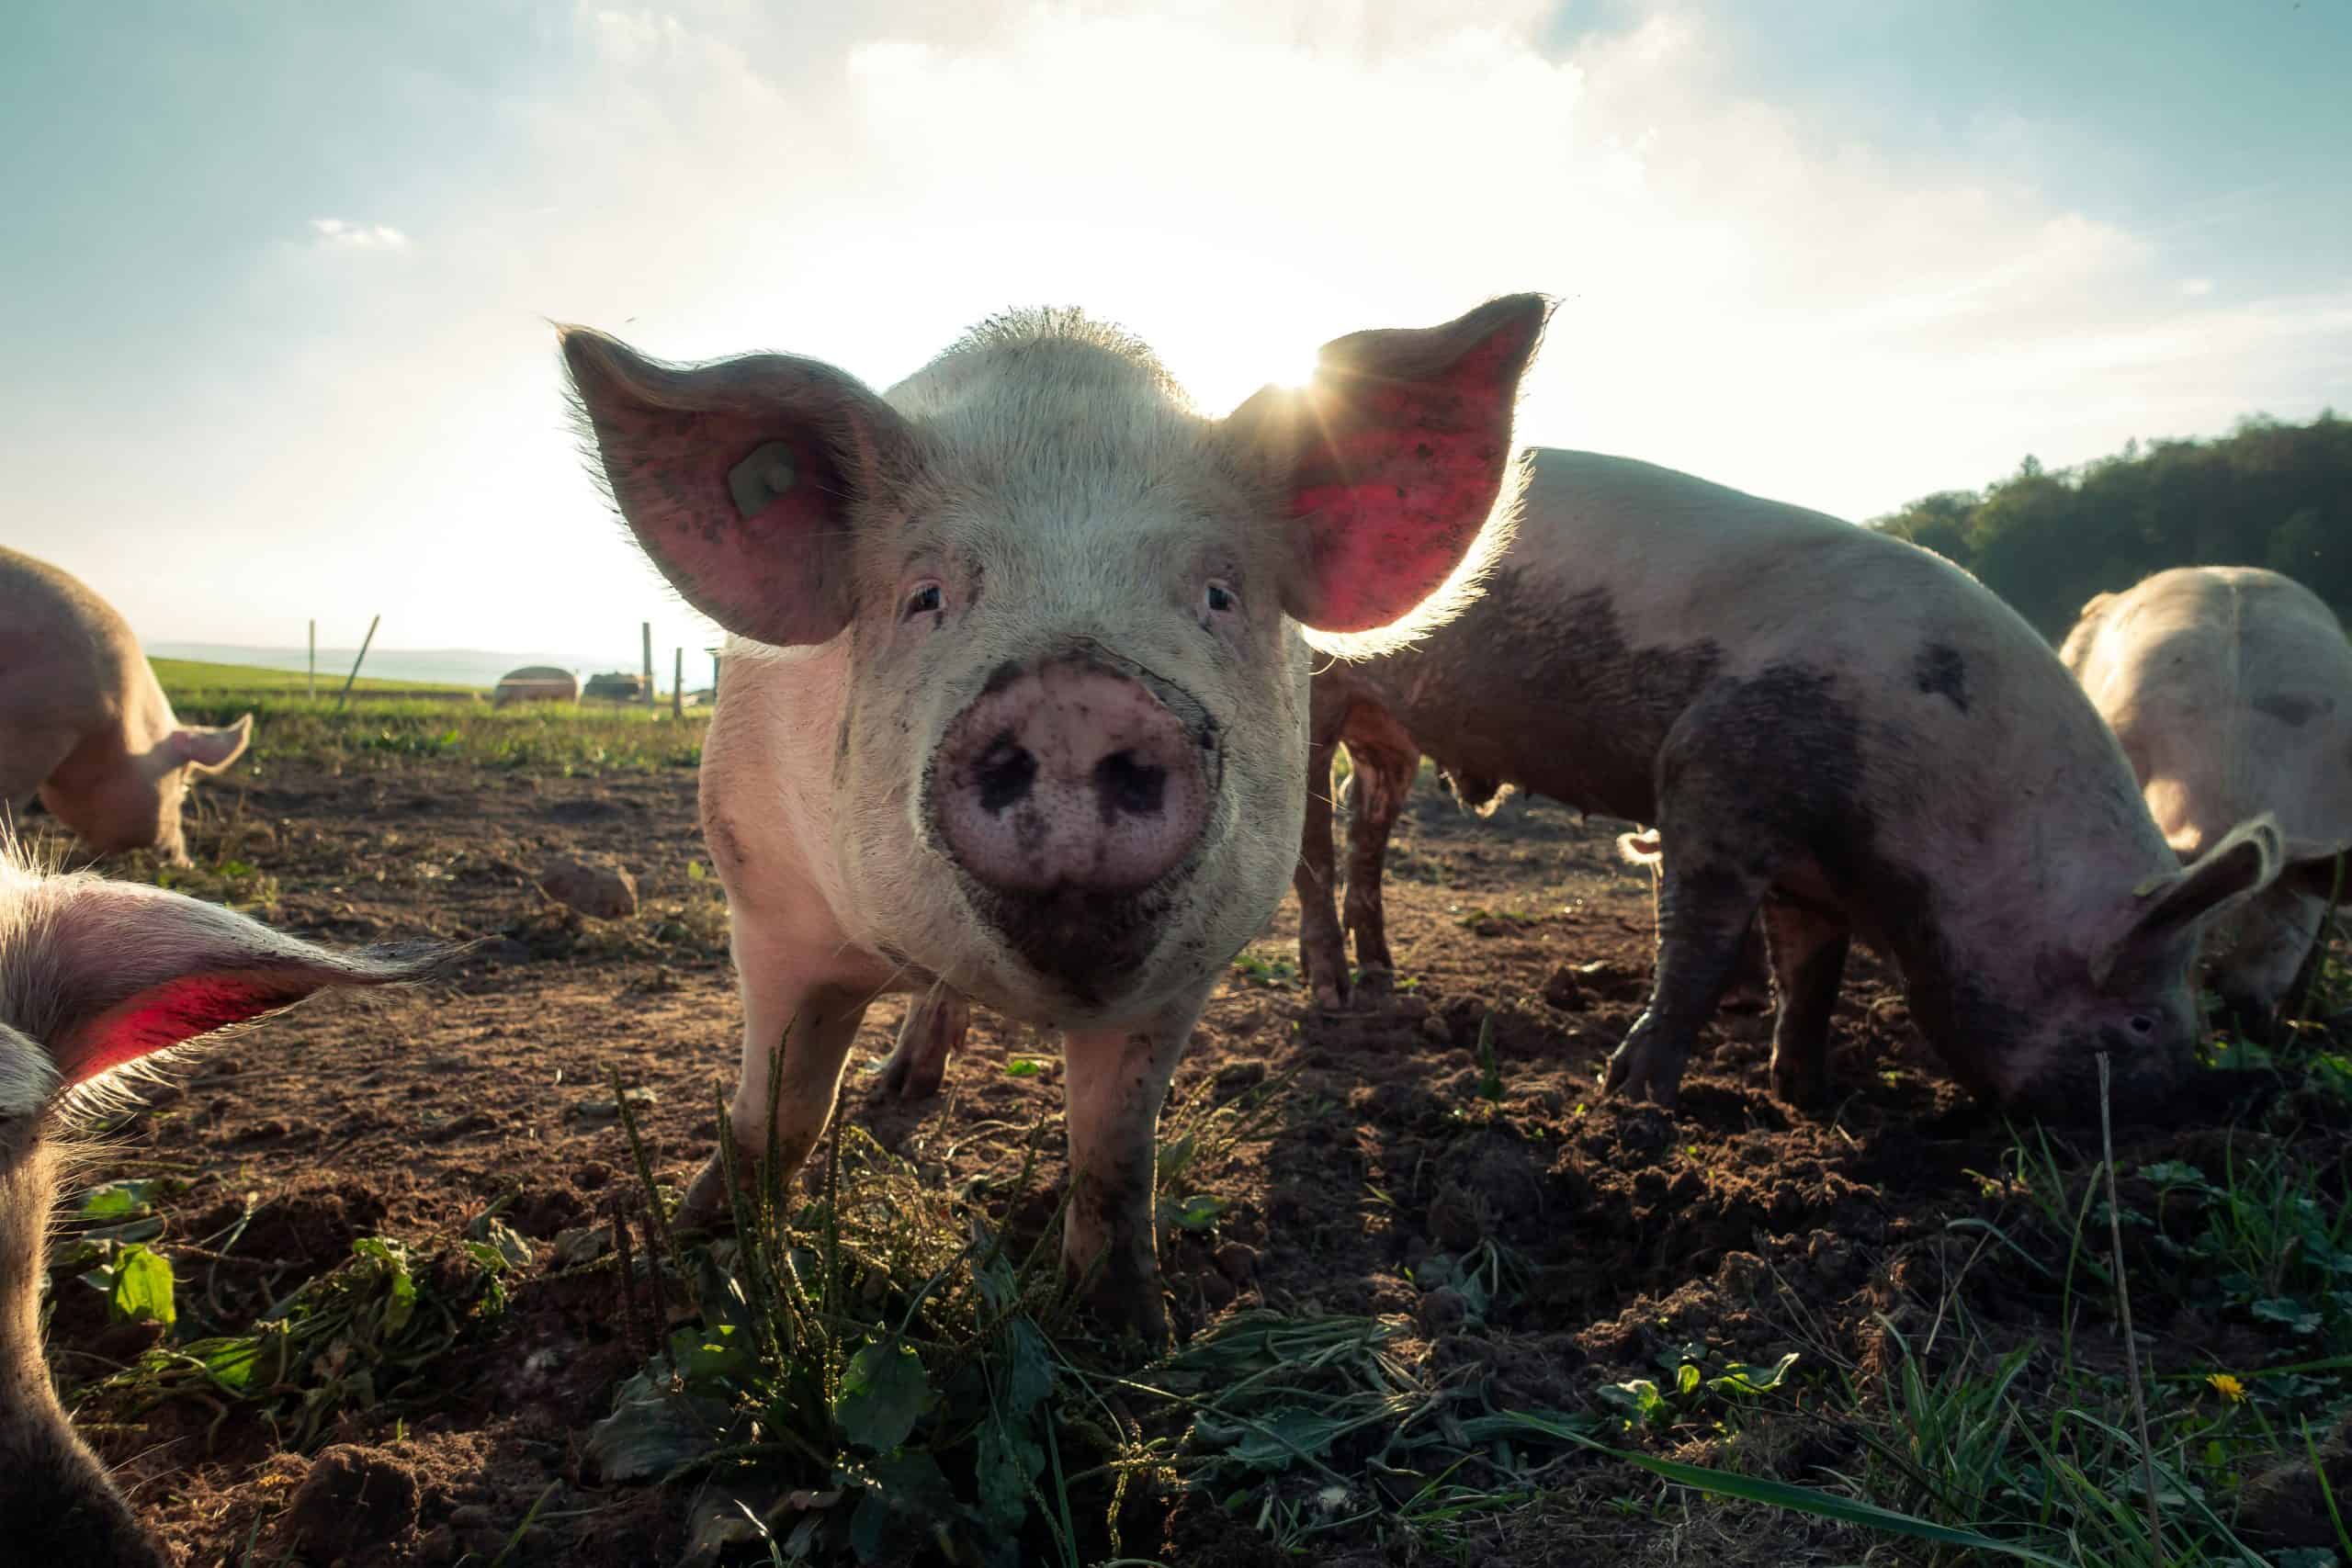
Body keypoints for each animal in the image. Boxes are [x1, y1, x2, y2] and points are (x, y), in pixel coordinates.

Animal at [560, 296, 1549, 1340]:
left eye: (1218, 593)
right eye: (925, 596)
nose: (1075, 694)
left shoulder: (1189, 967)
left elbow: (1115, 1149)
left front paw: (1127, 1331)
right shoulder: (765, 896)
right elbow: (779, 1111)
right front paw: (699, 1258)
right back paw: (898, 1089)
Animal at [1286, 448, 2284, 1115]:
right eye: (2141, 1021)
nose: (2182, 1112)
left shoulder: (1816, 873)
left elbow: (1813, 972)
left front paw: (1809, 1093)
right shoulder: (1711, 776)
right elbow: (1696, 944)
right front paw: (1632, 1100)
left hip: (1390, 731)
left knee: (1363, 819)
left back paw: (1384, 979)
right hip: (1316, 693)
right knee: (1309, 842)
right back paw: (1332, 997)